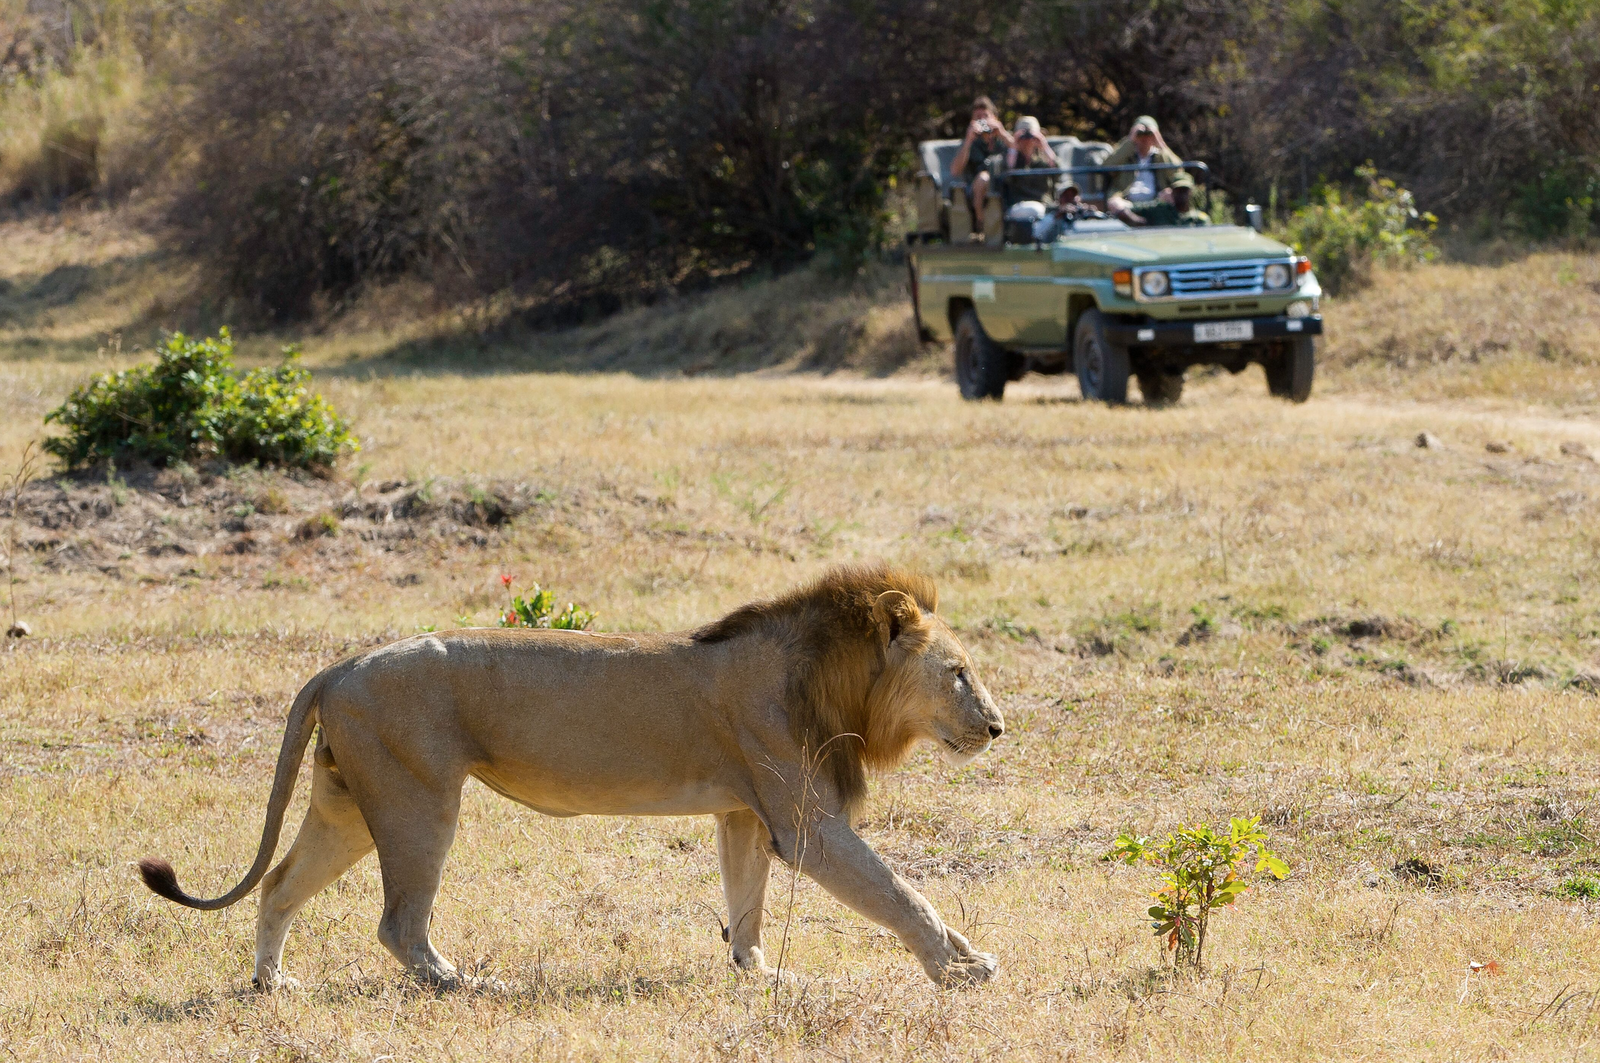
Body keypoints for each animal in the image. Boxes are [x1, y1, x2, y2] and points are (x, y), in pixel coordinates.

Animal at [144, 563, 1004, 986]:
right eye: (958, 672)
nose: (998, 726)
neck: (830, 675)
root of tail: (341, 664)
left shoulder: (743, 815)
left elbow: (747, 905)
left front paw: (757, 975)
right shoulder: (807, 825)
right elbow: (902, 891)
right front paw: (957, 969)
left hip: (348, 805)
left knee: (278, 883)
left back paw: (272, 984)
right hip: (419, 801)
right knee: (397, 921)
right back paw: (460, 983)